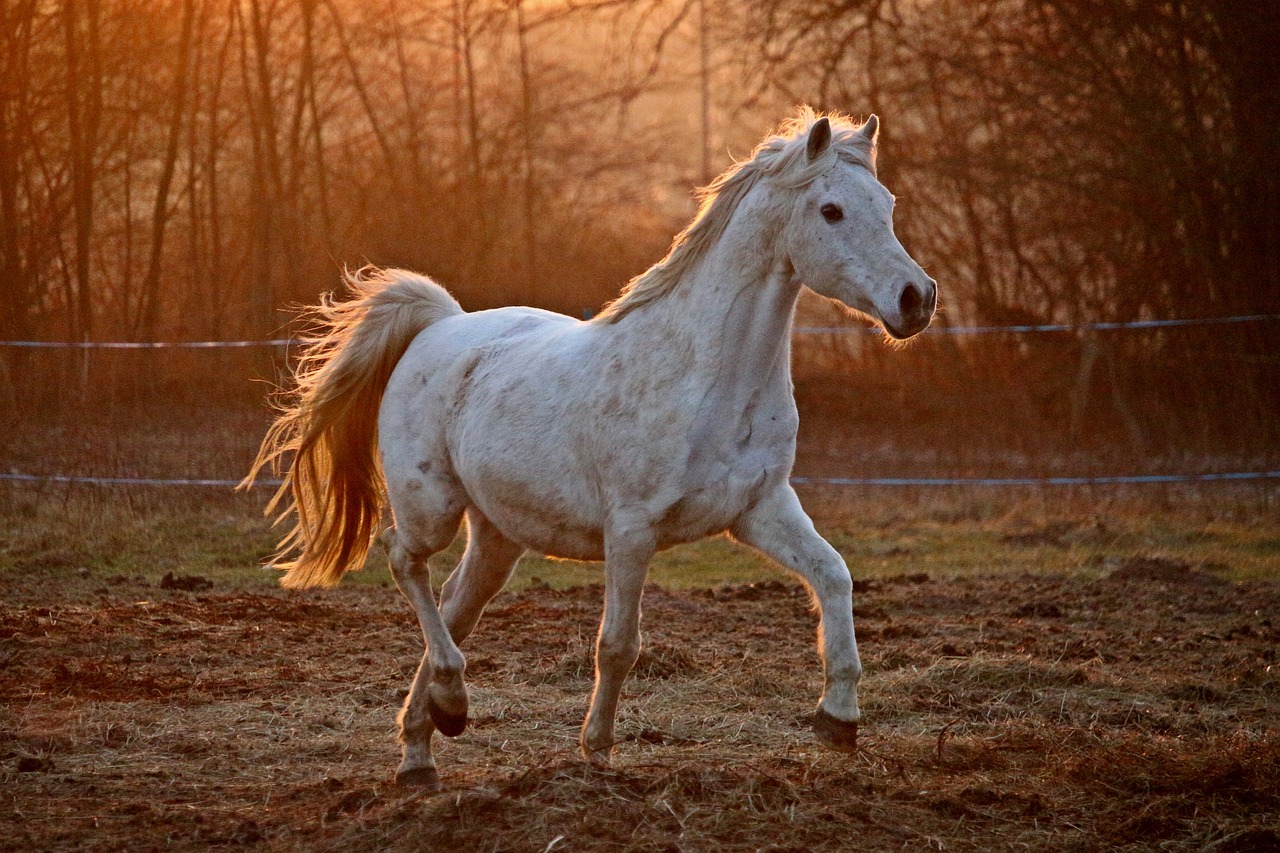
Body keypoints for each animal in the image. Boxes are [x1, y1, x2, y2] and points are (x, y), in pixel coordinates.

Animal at [244, 109, 936, 788]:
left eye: (886, 203)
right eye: (831, 210)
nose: (916, 299)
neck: (703, 376)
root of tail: (440, 325)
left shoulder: (759, 508)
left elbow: (834, 577)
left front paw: (838, 719)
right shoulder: (632, 527)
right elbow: (618, 644)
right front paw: (597, 751)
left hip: (497, 535)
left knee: (454, 602)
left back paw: (425, 744)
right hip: (431, 506)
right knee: (403, 562)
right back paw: (451, 701)